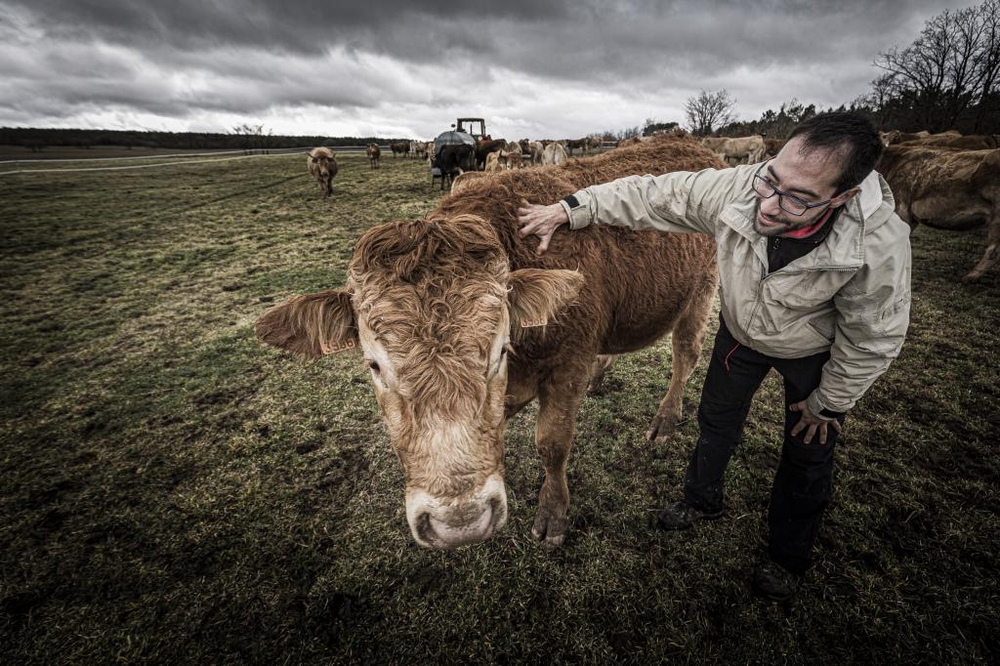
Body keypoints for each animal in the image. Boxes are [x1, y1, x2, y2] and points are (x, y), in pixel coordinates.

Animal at [260, 134, 720, 544]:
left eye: (500, 351)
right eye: (374, 365)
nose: (459, 522)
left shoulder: (568, 365)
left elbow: (552, 444)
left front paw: (552, 514)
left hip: (701, 291)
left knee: (686, 354)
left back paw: (665, 419)